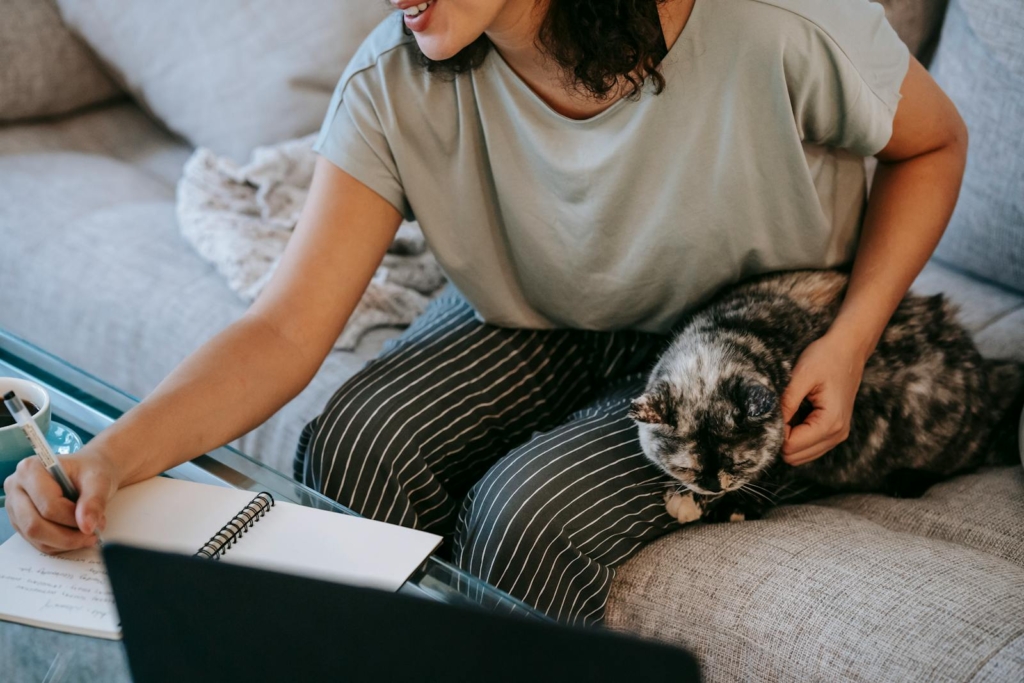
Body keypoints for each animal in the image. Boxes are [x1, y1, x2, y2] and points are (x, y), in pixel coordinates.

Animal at [626, 268, 1024, 524]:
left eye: (740, 463)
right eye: (687, 468)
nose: (711, 486)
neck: (742, 331)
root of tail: (988, 373)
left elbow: (773, 470)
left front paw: (734, 506)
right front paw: (689, 498)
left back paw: (906, 480)